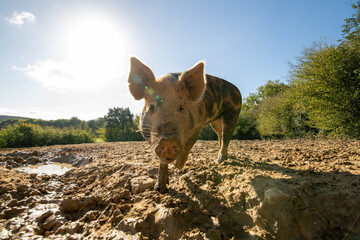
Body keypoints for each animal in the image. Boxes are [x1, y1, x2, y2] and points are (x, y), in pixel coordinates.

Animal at [127, 56, 242, 193]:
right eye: (151, 106)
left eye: (181, 107)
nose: (168, 140)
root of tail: (237, 90)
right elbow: (162, 162)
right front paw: (160, 189)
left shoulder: (199, 123)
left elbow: (188, 145)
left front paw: (177, 166)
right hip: (216, 122)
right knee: (220, 136)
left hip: (233, 114)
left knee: (226, 137)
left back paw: (219, 161)